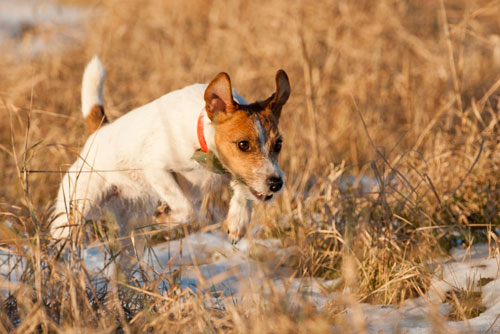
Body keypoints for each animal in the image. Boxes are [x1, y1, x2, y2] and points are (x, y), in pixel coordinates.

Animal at [49, 56, 290, 245]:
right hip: (74, 209)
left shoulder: (233, 173)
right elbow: (186, 210)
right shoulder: (156, 169)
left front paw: (238, 220)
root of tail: (100, 131)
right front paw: (164, 219)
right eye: (243, 144)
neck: (200, 138)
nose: (276, 183)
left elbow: (243, 191)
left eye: (278, 144)